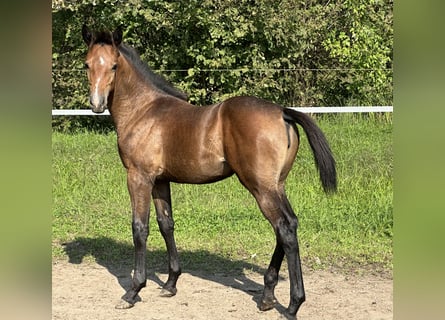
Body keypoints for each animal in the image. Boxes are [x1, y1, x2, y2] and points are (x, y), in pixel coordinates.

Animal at [81, 25, 334, 320]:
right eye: (87, 64)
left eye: (113, 65)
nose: (96, 104)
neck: (143, 111)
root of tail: (282, 112)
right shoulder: (160, 181)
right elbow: (166, 224)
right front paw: (170, 284)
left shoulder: (138, 177)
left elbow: (139, 228)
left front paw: (133, 291)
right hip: (276, 185)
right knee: (288, 225)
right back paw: (267, 296)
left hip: (260, 187)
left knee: (284, 228)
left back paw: (293, 304)